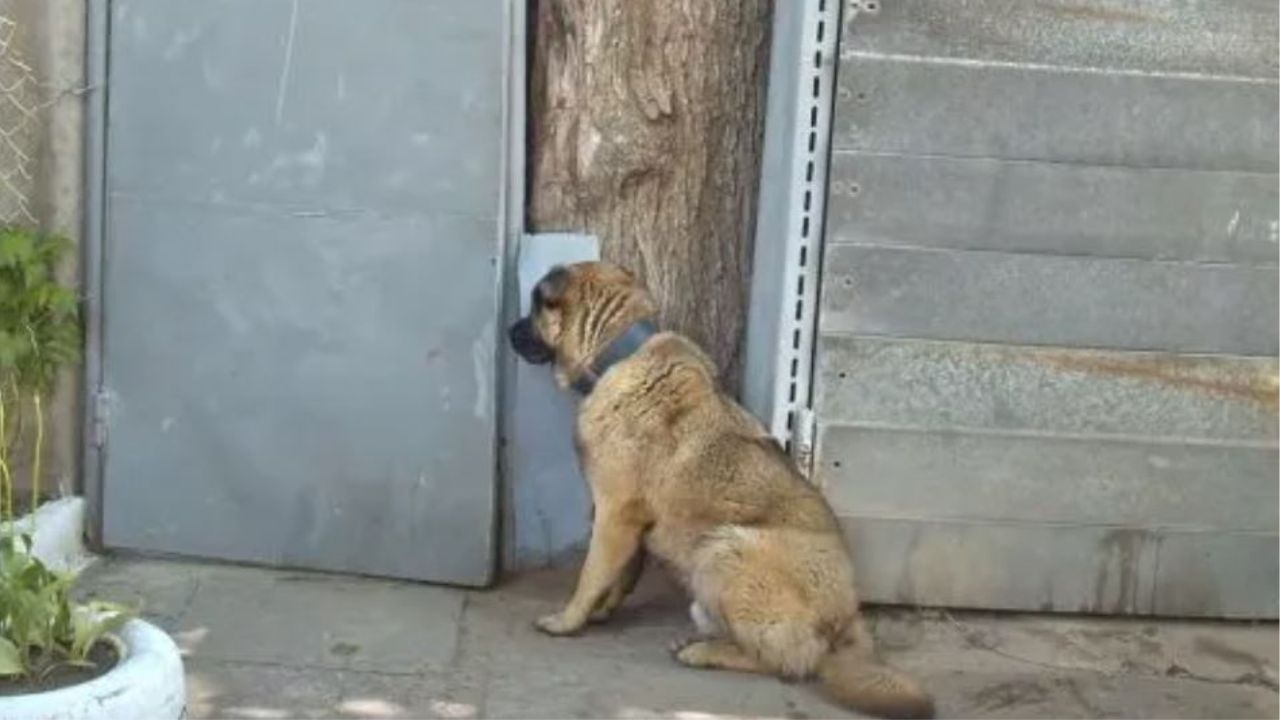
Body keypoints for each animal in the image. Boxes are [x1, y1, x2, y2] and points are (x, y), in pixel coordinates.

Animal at [509, 262, 942, 717]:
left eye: (535, 308)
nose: (508, 331)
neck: (619, 351)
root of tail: (850, 615)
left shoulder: (614, 515)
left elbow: (591, 574)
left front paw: (567, 620)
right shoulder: (626, 522)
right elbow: (622, 574)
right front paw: (602, 610)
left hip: (724, 549)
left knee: (791, 661)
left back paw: (706, 653)